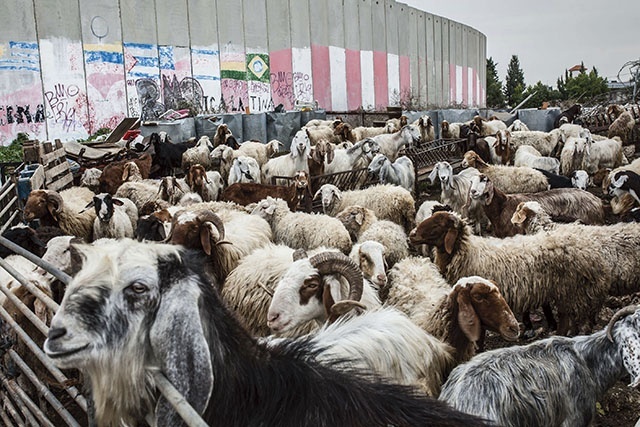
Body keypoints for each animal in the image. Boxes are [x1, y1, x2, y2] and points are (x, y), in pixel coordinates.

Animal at [410, 212, 616, 336]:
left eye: (437, 225)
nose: (412, 234)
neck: (469, 252)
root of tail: (588, 246)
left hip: (569, 291)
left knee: (566, 319)